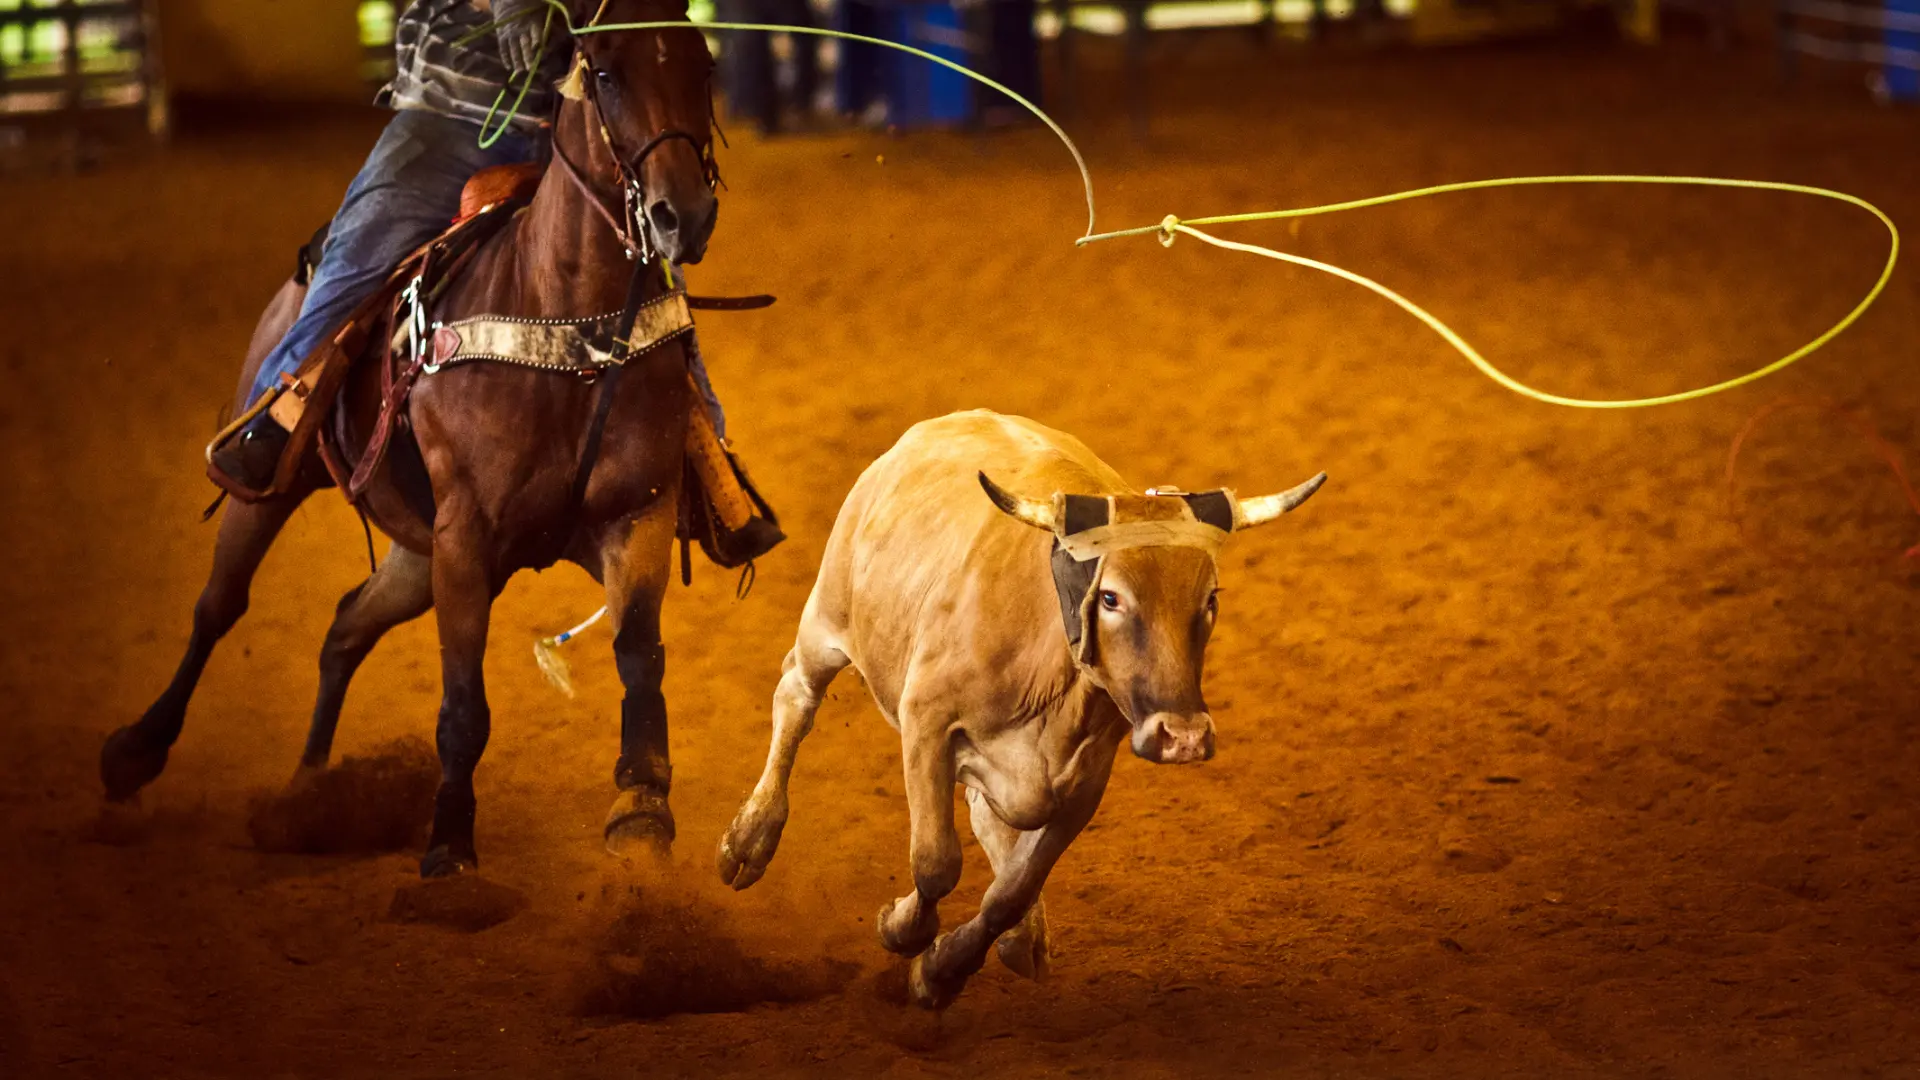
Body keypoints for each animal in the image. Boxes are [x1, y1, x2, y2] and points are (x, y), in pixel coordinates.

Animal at [101, 2, 721, 876]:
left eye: (705, 66)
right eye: (605, 72)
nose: (684, 215)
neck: (572, 328)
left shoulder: (638, 515)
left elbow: (640, 662)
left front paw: (641, 816)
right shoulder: (467, 538)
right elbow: (463, 706)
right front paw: (449, 849)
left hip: (413, 548)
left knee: (345, 626)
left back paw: (307, 794)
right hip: (276, 486)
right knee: (218, 606)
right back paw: (136, 752)